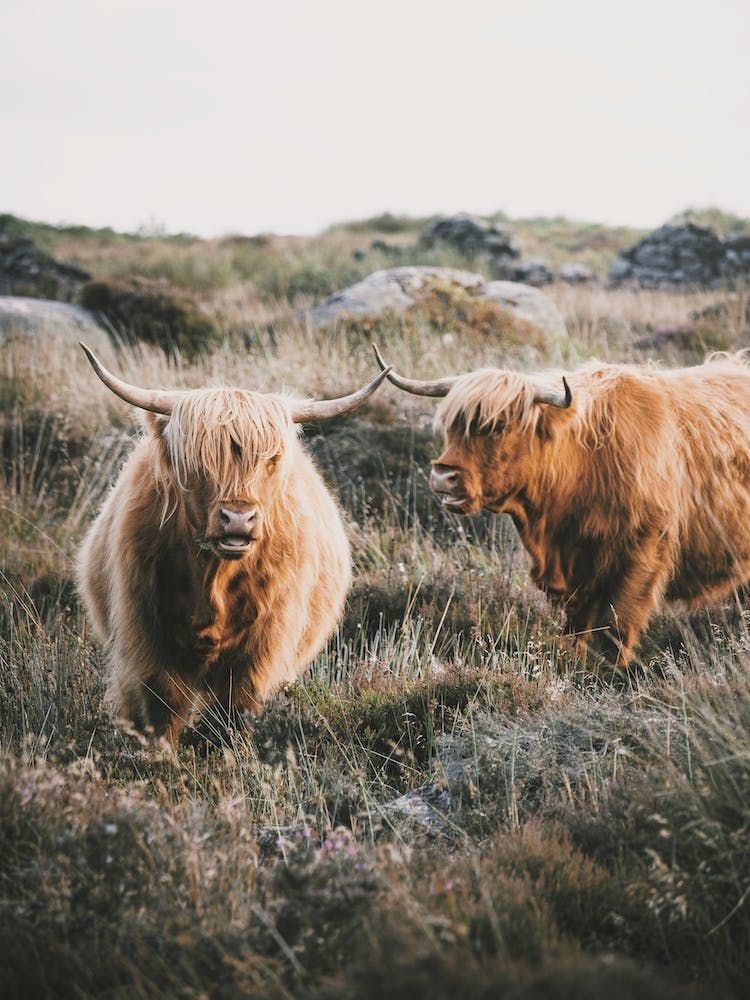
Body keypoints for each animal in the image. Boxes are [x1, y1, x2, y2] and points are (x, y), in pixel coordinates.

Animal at [77, 344, 390, 743]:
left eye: (270, 460)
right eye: (198, 462)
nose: (238, 518)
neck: (214, 578)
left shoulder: (261, 651)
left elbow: (234, 710)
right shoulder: (145, 638)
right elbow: (161, 708)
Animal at [373, 345, 750, 668]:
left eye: (497, 426)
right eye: (451, 427)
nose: (443, 475)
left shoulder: (642, 551)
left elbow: (616, 626)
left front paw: (609, 674)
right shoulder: (574, 568)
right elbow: (576, 626)